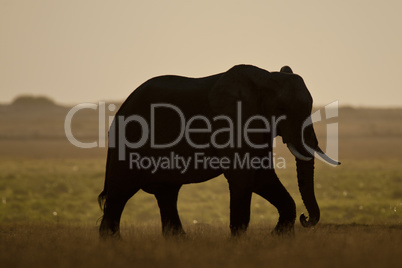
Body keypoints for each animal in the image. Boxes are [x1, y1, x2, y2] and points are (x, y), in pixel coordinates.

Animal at [98, 64, 340, 239]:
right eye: (281, 109)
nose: (305, 218)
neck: (265, 78)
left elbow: (262, 177)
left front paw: (277, 238)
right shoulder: (232, 124)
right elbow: (243, 177)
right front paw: (238, 244)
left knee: (167, 194)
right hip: (128, 142)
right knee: (119, 193)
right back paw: (114, 245)